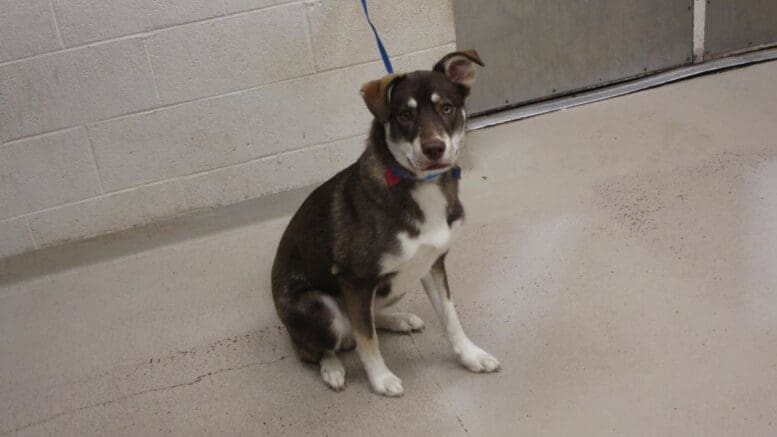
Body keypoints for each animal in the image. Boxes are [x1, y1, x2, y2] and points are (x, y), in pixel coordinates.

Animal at [270, 50, 500, 396]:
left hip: (393, 286)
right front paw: (380, 379)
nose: (434, 148)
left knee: (367, 317)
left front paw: (471, 356)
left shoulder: (432, 263)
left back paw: (399, 320)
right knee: (318, 346)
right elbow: (367, 340)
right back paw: (332, 369)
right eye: (404, 115)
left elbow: (450, 317)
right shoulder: (354, 279)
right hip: (319, 307)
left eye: (446, 107)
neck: (420, 187)